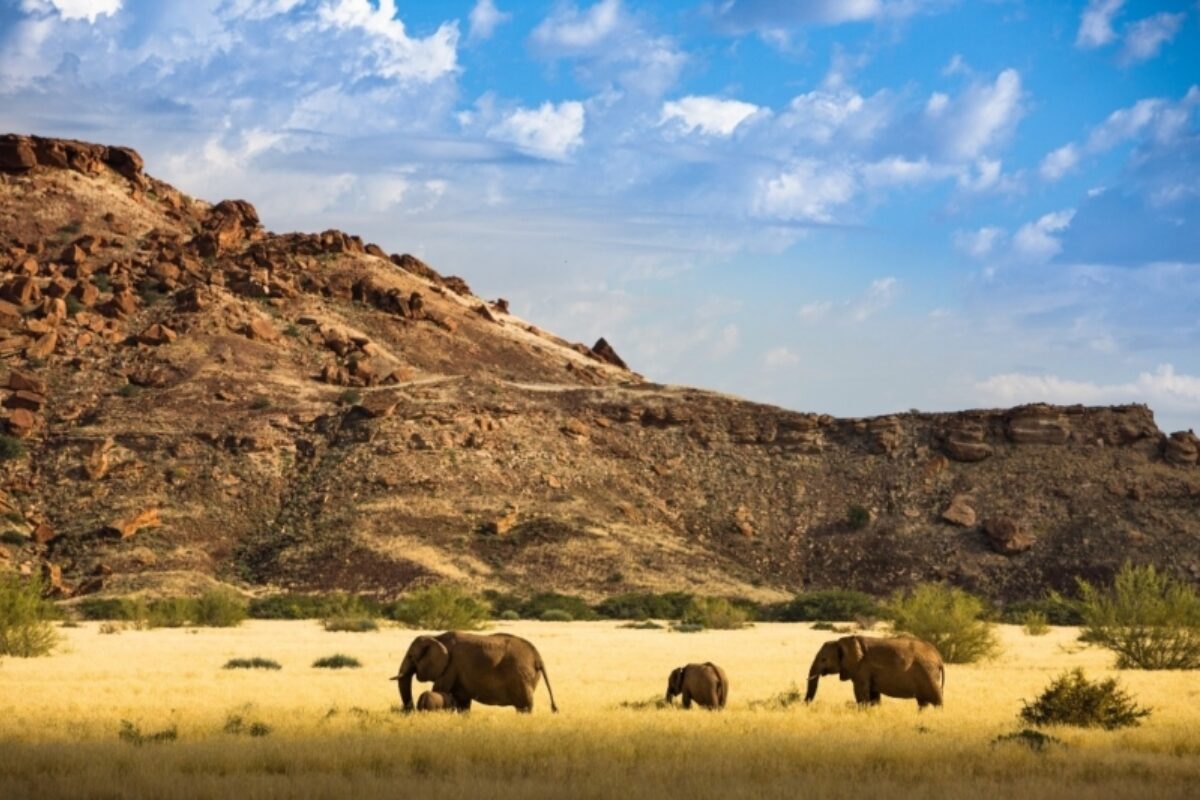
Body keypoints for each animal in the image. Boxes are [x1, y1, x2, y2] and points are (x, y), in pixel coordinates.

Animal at [391, 631, 559, 713]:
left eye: (411, 656)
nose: (409, 710)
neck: (435, 637)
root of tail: (538, 656)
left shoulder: (449, 667)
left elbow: (439, 689)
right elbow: (463, 701)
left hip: (522, 676)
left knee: (524, 707)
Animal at [804, 635, 944, 709]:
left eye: (824, 659)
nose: (806, 705)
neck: (843, 641)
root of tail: (939, 658)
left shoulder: (862, 668)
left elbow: (860, 693)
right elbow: (873, 695)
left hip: (929, 673)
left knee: (936, 700)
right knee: (922, 702)